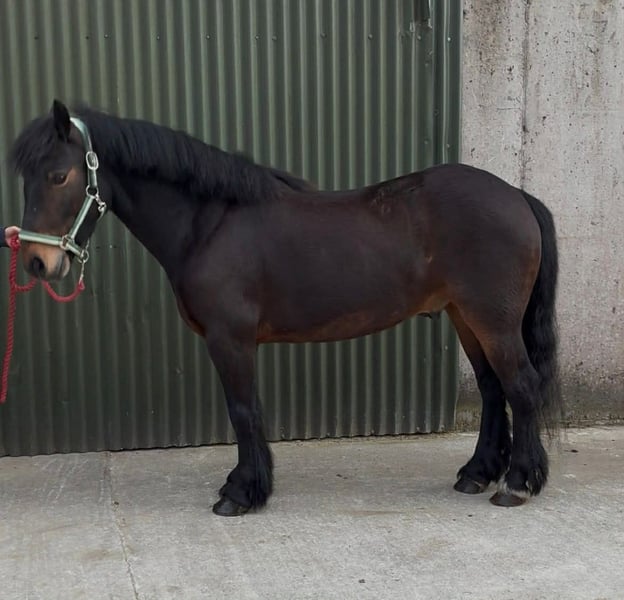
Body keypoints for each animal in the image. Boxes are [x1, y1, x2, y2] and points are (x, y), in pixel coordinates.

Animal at [8, 100, 562, 516]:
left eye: (59, 175)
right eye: (26, 179)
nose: (37, 262)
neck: (209, 224)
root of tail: (516, 195)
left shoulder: (230, 340)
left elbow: (243, 411)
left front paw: (241, 493)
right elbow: (246, 412)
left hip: (493, 320)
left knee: (522, 387)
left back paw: (516, 484)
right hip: (465, 317)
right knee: (493, 390)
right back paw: (476, 474)